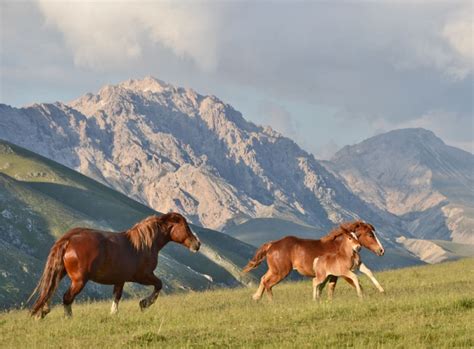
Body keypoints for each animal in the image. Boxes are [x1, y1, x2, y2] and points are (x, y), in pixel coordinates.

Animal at [28, 211, 198, 316]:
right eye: (186, 227)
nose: (197, 244)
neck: (142, 245)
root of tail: (68, 239)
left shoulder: (120, 280)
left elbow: (117, 296)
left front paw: (114, 314)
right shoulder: (143, 276)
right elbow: (159, 284)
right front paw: (144, 303)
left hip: (61, 272)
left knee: (50, 290)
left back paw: (43, 312)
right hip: (79, 280)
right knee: (67, 298)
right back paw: (67, 318)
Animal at [244, 220, 386, 300]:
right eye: (370, 235)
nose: (381, 250)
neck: (339, 246)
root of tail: (272, 244)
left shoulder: (345, 269)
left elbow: (367, 273)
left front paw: (382, 291)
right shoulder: (341, 273)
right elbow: (348, 283)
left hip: (274, 270)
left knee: (263, 279)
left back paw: (256, 297)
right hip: (281, 272)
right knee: (268, 284)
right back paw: (272, 303)